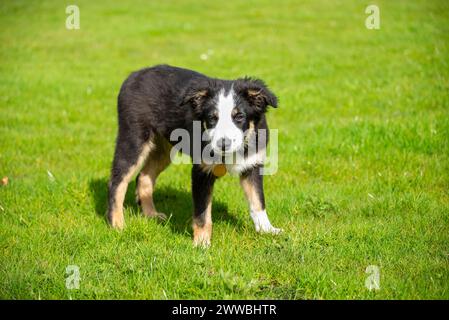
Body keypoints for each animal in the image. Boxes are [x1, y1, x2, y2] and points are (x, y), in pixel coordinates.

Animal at [106, 63, 280, 246]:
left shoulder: (252, 165)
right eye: (212, 118)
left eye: (239, 116)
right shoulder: (201, 172)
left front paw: (267, 229)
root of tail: (136, 74)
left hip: (163, 148)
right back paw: (117, 224)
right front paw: (201, 242)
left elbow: (258, 200)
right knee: (117, 181)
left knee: (144, 176)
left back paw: (151, 214)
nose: (223, 144)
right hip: (133, 138)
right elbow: (202, 212)